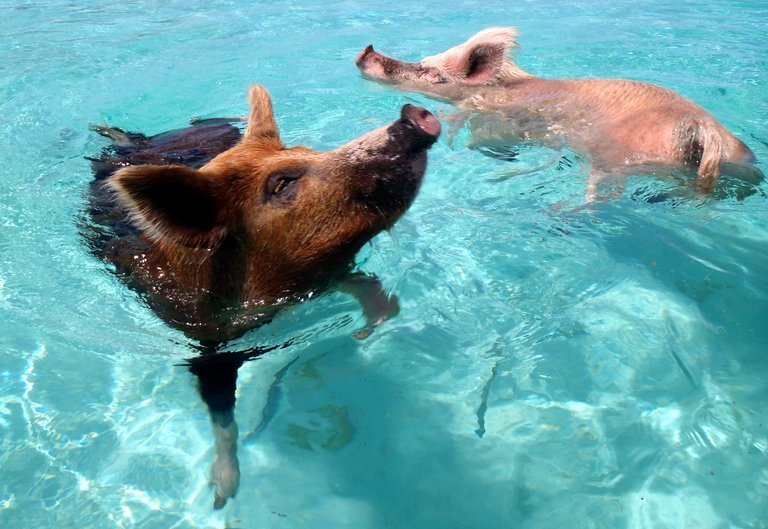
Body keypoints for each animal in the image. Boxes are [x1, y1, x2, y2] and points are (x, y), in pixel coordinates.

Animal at [84, 84, 440, 508]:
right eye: (281, 183)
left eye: (308, 150)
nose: (415, 115)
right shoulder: (207, 346)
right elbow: (222, 416)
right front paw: (223, 496)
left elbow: (364, 284)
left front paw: (371, 328)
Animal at [356, 27, 760, 197]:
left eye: (430, 72)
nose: (366, 50)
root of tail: (702, 129)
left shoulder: (490, 118)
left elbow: (472, 135)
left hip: (613, 155)